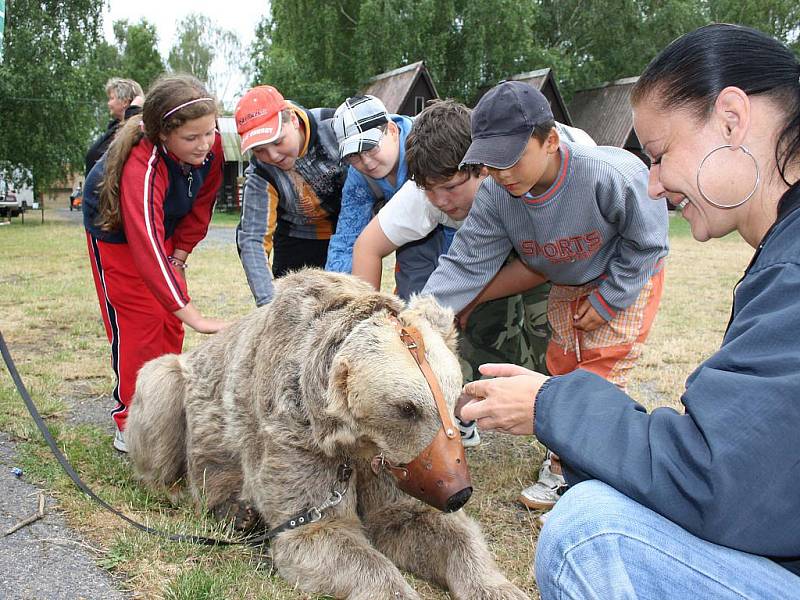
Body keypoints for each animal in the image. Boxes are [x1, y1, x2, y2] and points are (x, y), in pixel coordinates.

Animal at [125, 270, 532, 596]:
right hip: (179, 387)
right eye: (407, 407)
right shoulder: (297, 437)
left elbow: (424, 524)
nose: (458, 492)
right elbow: (321, 531)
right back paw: (195, 497)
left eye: (453, 398)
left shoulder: (389, 464)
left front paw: (499, 588)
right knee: (161, 400)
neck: (354, 441)